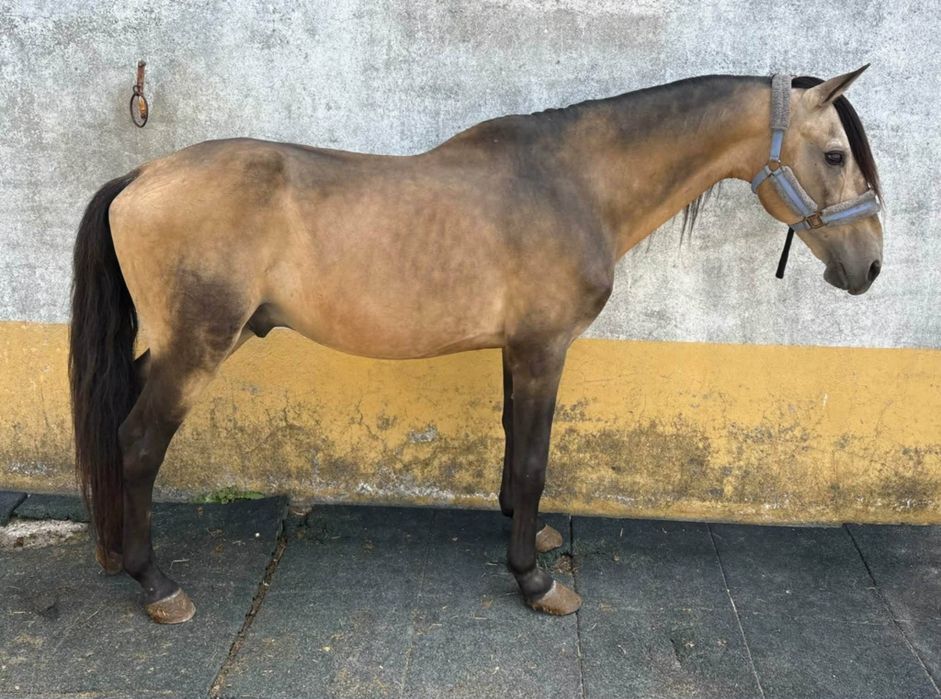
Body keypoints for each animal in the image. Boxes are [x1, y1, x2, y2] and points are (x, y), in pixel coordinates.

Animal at [69, 67, 883, 624]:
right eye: (835, 155)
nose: (869, 267)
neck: (573, 182)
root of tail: (141, 174)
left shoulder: (517, 348)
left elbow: (511, 439)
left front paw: (530, 531)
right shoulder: (545, 347)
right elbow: (532, 459)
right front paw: (534, 579)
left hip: (184, 344)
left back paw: (114, 548)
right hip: (200, 347)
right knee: (138, 439)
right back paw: (156, 582)